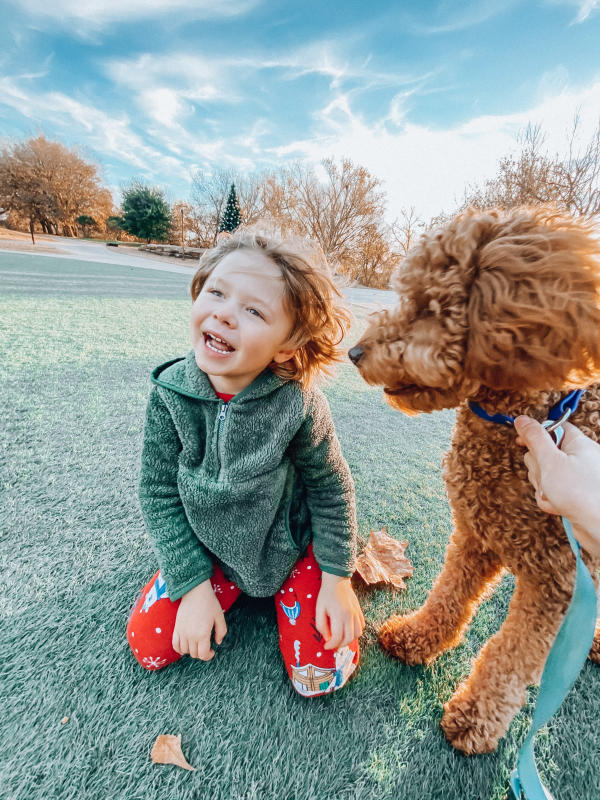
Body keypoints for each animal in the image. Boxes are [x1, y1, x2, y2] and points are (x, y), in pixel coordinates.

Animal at [346, 206, 600, 756]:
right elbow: (450, 595)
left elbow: (510, 654)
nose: (354, 352)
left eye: (429, 307)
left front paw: (475, 719)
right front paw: (416, 638)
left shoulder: (556, 581)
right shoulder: (478, 534)